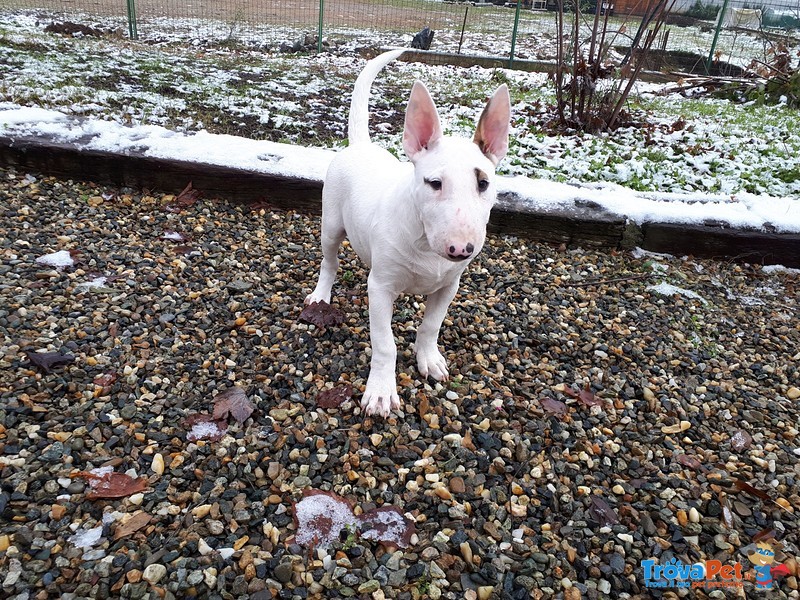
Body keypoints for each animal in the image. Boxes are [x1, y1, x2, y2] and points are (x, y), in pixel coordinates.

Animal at [306, 50, 512, 418]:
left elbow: (431, 325)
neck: (425, 242)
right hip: (330, 225)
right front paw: (380, 393)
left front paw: (429, 360)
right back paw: (321, 294)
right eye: (434, 183)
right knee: (329, 261)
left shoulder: (448, 286)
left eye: (483, 183)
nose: (461, 249)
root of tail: (361, 145)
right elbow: (384, 343)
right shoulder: (380, 287)